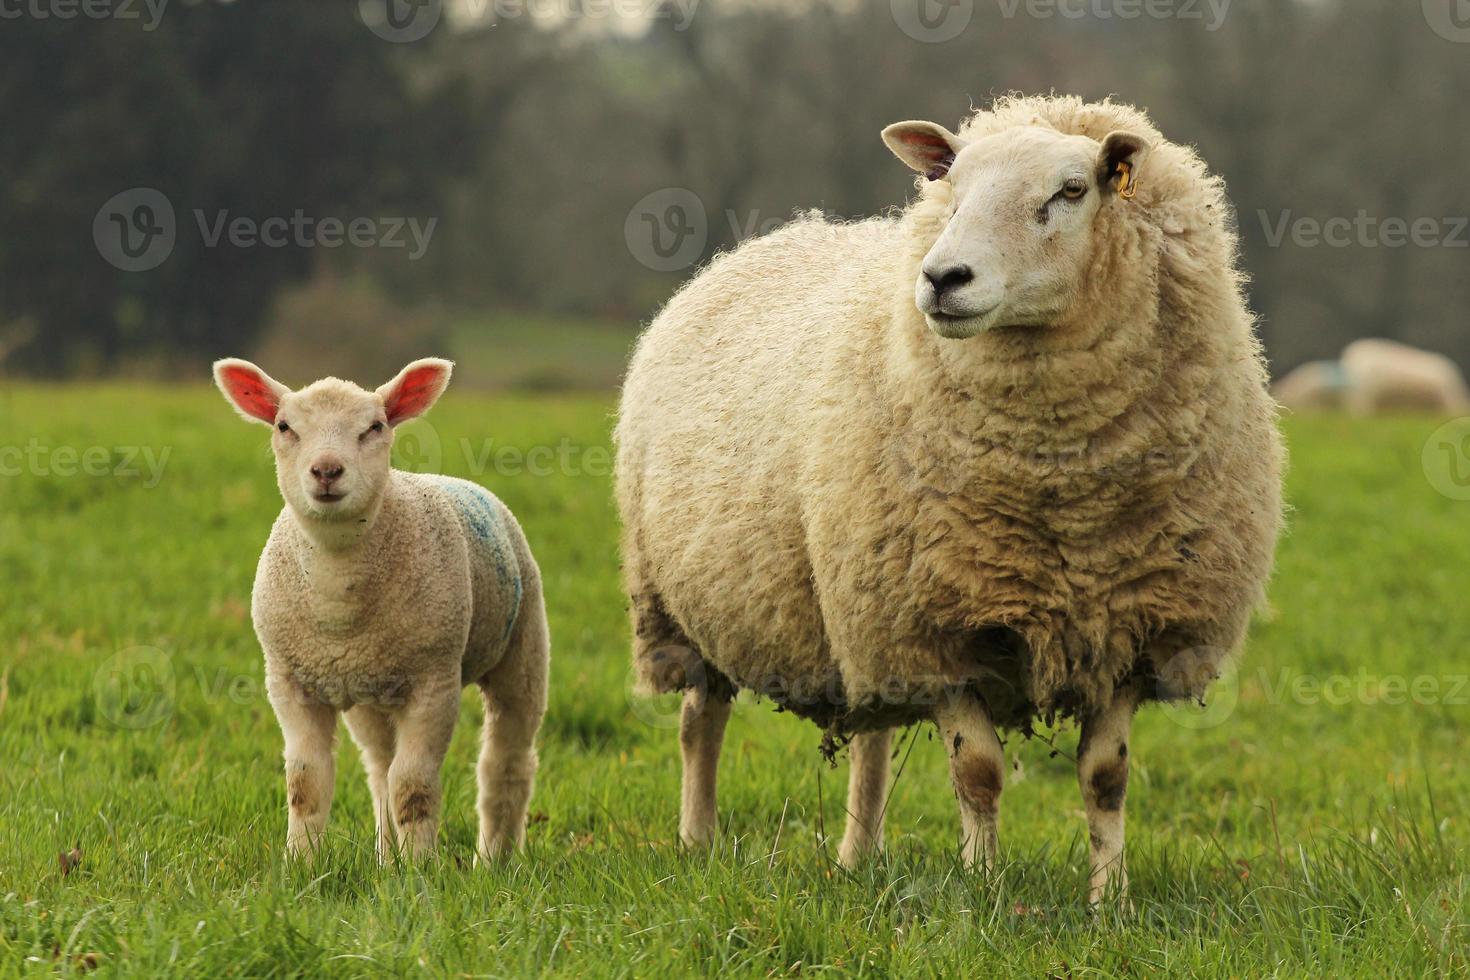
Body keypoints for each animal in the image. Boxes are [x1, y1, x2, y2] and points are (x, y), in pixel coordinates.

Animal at [211, 357, 546, 863]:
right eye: (284, 426)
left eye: (375, 427)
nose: (326, 470)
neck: (339, 601)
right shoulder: (288, 680)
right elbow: (306, 783)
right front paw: (300, 863)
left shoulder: (434, 681)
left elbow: (413, 786)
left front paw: (421, 868)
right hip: (370, 694)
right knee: (379, 769)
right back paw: (387, 860)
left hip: (522, 649)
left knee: (505, 763)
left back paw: (494, 860)